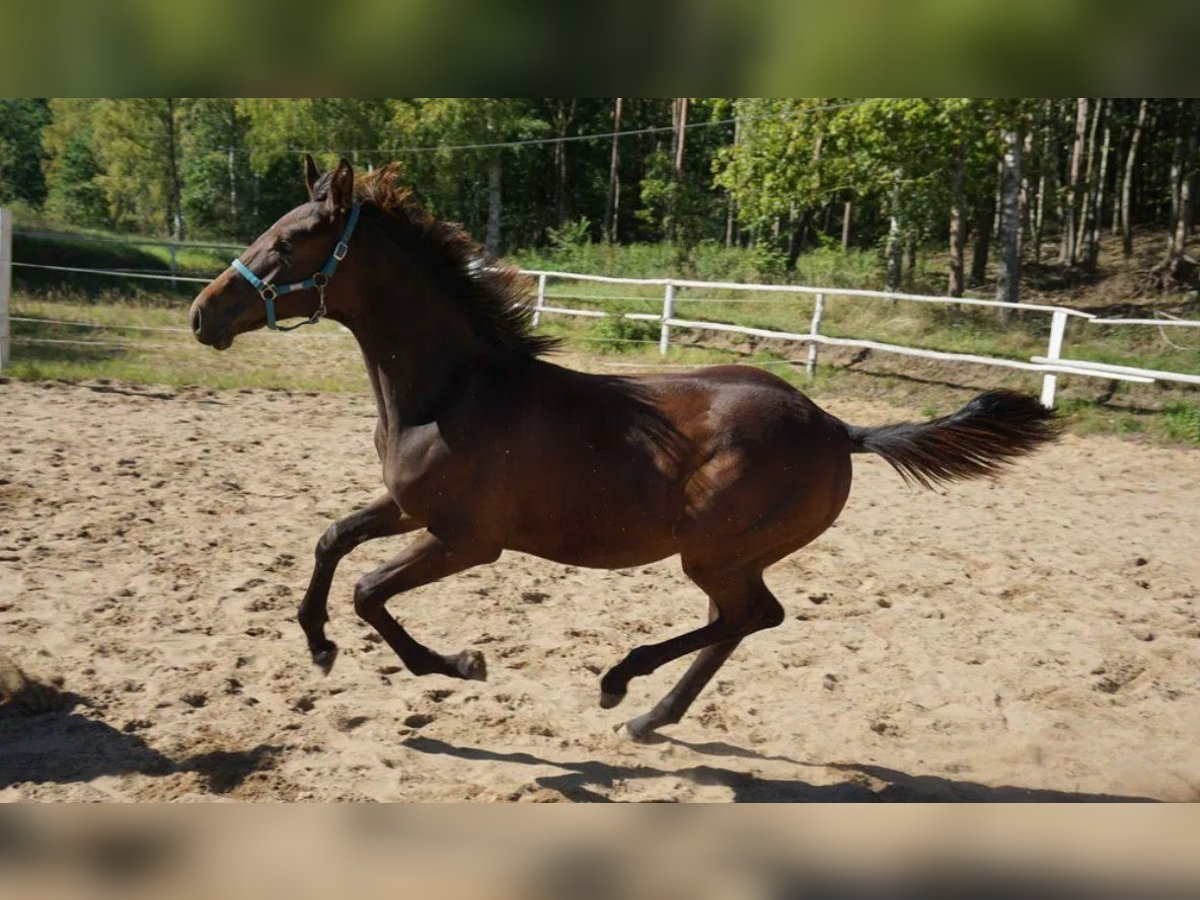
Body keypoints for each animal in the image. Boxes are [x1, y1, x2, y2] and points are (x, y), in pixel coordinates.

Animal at [189, 158, 1060, 744]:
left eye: (290, 242)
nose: (203, 315)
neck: (450, 392)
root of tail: (837, 426)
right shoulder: (408, 507)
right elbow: (331, 541)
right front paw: (318, 646)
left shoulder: (468, 541)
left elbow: (369, 590)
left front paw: (461, 666)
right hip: (730, 556)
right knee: (739, 622)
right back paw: (648, 716)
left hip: (714, 551)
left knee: (753, 616)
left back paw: (620, 682)